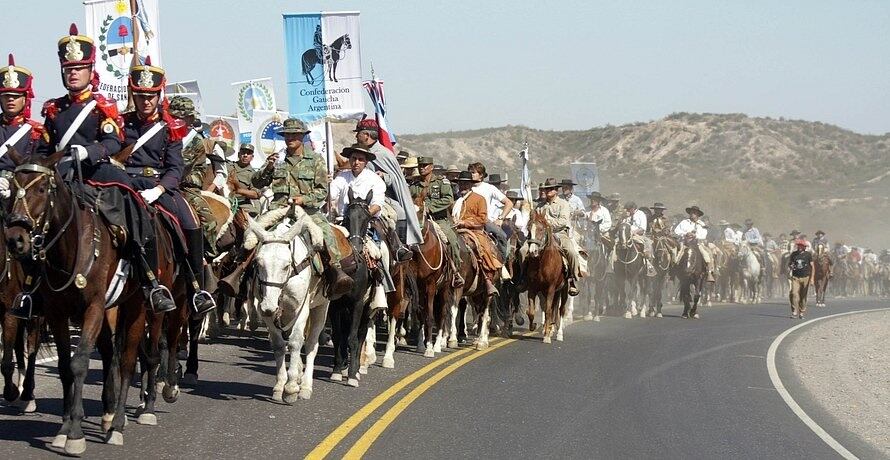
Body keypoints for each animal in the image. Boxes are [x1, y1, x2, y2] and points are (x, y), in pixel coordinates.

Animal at [3, 147, 180, 452]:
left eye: (41, 188)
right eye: (13, 190)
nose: (15, 239)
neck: (71, 247)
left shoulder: (93, 308)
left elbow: (80, 363)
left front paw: (75, 433)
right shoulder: (56, 313)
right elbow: (65, 366)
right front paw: (64, 428)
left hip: (141, 307)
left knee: (131, 359)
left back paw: (124, 421)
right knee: (113, 354)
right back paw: (109, 415)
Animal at [243, 207, 326, 400]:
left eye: (286, 265)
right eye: (258, 262)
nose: (269, 306)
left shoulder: (301, 310)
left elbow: (295, 342)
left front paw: (291, 388)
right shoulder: (266, 312)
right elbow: (279, 345)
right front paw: (281, 385)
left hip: (321, 308)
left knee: (311, 345)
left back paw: (305, 386)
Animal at [524, 212, 564, 342]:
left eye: (541, 229)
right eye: (528, 229)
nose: (533, 251)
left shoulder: (551, 288)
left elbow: (548, 310)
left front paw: (546, 336)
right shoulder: (533, 288)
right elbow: (531, 311)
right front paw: (533, 326)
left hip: (563, 290)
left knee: (560, 310)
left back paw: (559, 334)